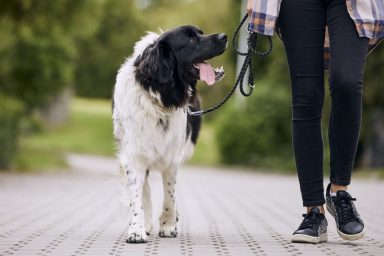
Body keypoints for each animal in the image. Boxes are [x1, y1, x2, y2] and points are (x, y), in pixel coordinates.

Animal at [112, 26, 228, 244]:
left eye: (201, 32)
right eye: (190, 40)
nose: (224, 36)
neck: (160, 99)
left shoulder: (172, 157)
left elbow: (169, 194)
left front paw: (168, 225)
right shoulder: (133, 156)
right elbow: (138, 195)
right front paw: (137, 229)